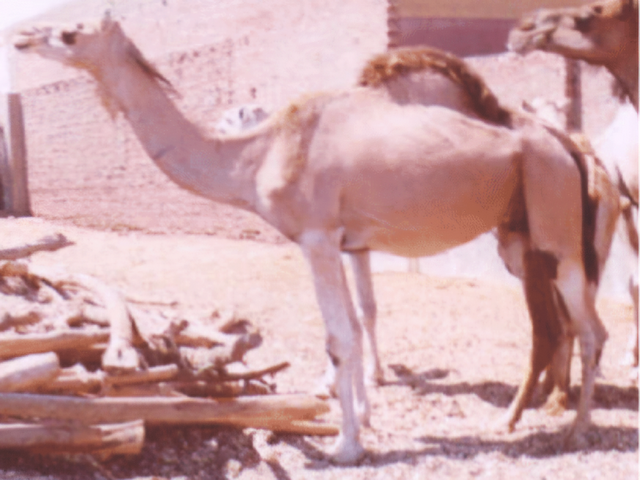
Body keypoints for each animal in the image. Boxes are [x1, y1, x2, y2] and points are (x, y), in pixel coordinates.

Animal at [14, 18, 608, 463]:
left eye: (70, 32)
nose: (22, 39)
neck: (255, 154)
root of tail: (567, 146)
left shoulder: (317, 237)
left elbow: (340, 338)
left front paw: (344, 446)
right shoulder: (340, 239)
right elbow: (350, 330)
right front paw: (357, 424)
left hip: (556, 219)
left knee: (591, 328)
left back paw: (577, 431)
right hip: (522, 234)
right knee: (561, 325)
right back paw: (531, 419)